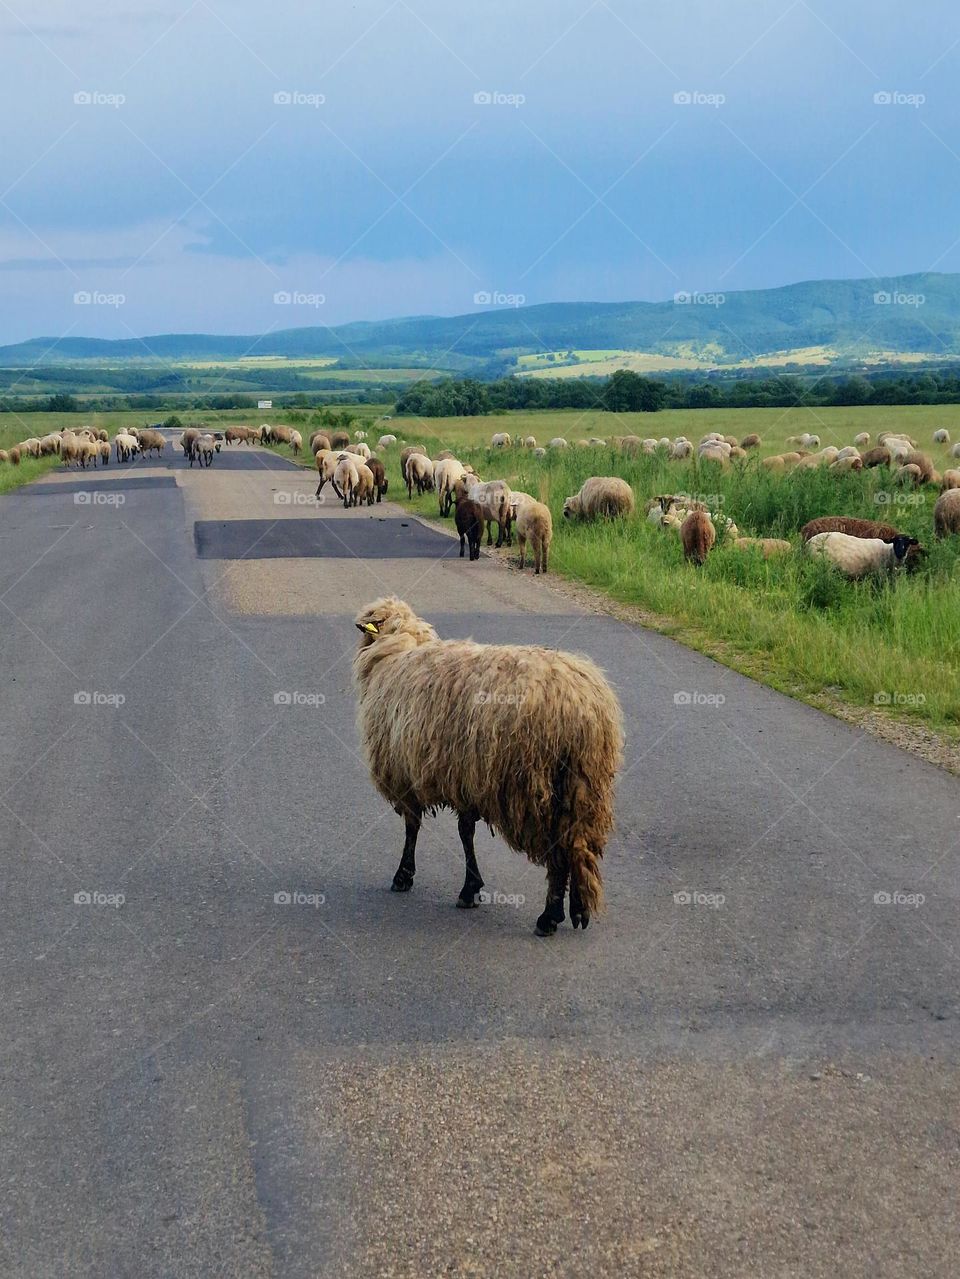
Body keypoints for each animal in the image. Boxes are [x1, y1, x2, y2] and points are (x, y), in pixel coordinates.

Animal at [353, 596, 624, 934]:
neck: (398, 647)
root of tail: (581, 704)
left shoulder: (407, 772)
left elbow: (416, 826)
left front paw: (406, 876)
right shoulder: (465, 776)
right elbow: (465, 830)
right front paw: (471, 887)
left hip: (537, 788)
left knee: (558, 852)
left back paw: (549, 917)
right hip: (583, 784)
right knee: (579, 843)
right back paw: (578, 908)